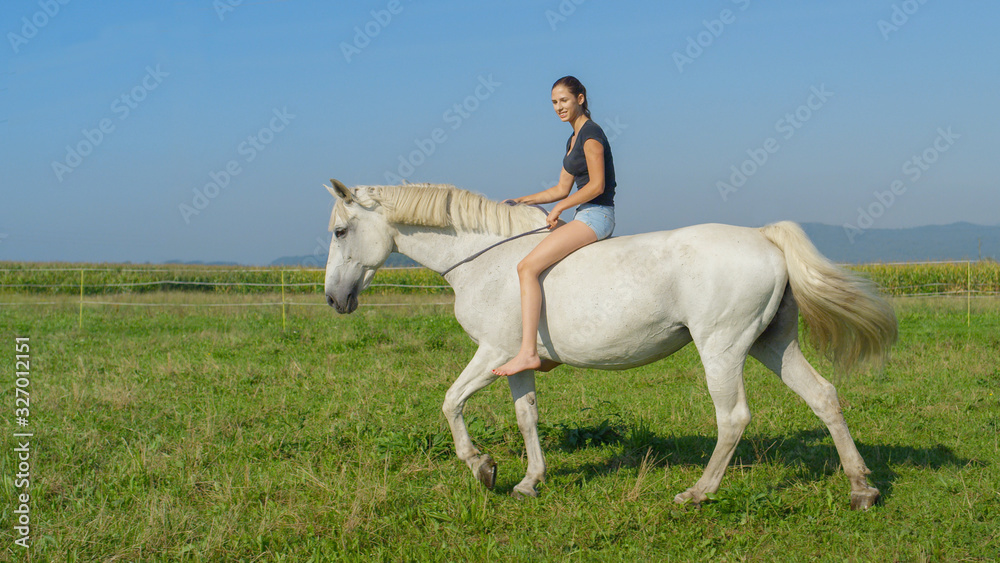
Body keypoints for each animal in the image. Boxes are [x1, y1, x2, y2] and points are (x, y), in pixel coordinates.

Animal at [322, 180, 898, 510]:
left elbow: (450, 402)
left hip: (722, 348)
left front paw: (483, 468)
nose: (334, 299)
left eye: (340, 231)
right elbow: (527, 416)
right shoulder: (517, 363)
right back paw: (861, 489)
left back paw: (697, 493)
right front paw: (529, 482)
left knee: (733, 418)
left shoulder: (493, 354)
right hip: (770, 345)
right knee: (823, 396)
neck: (485, 260)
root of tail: (762, 237)